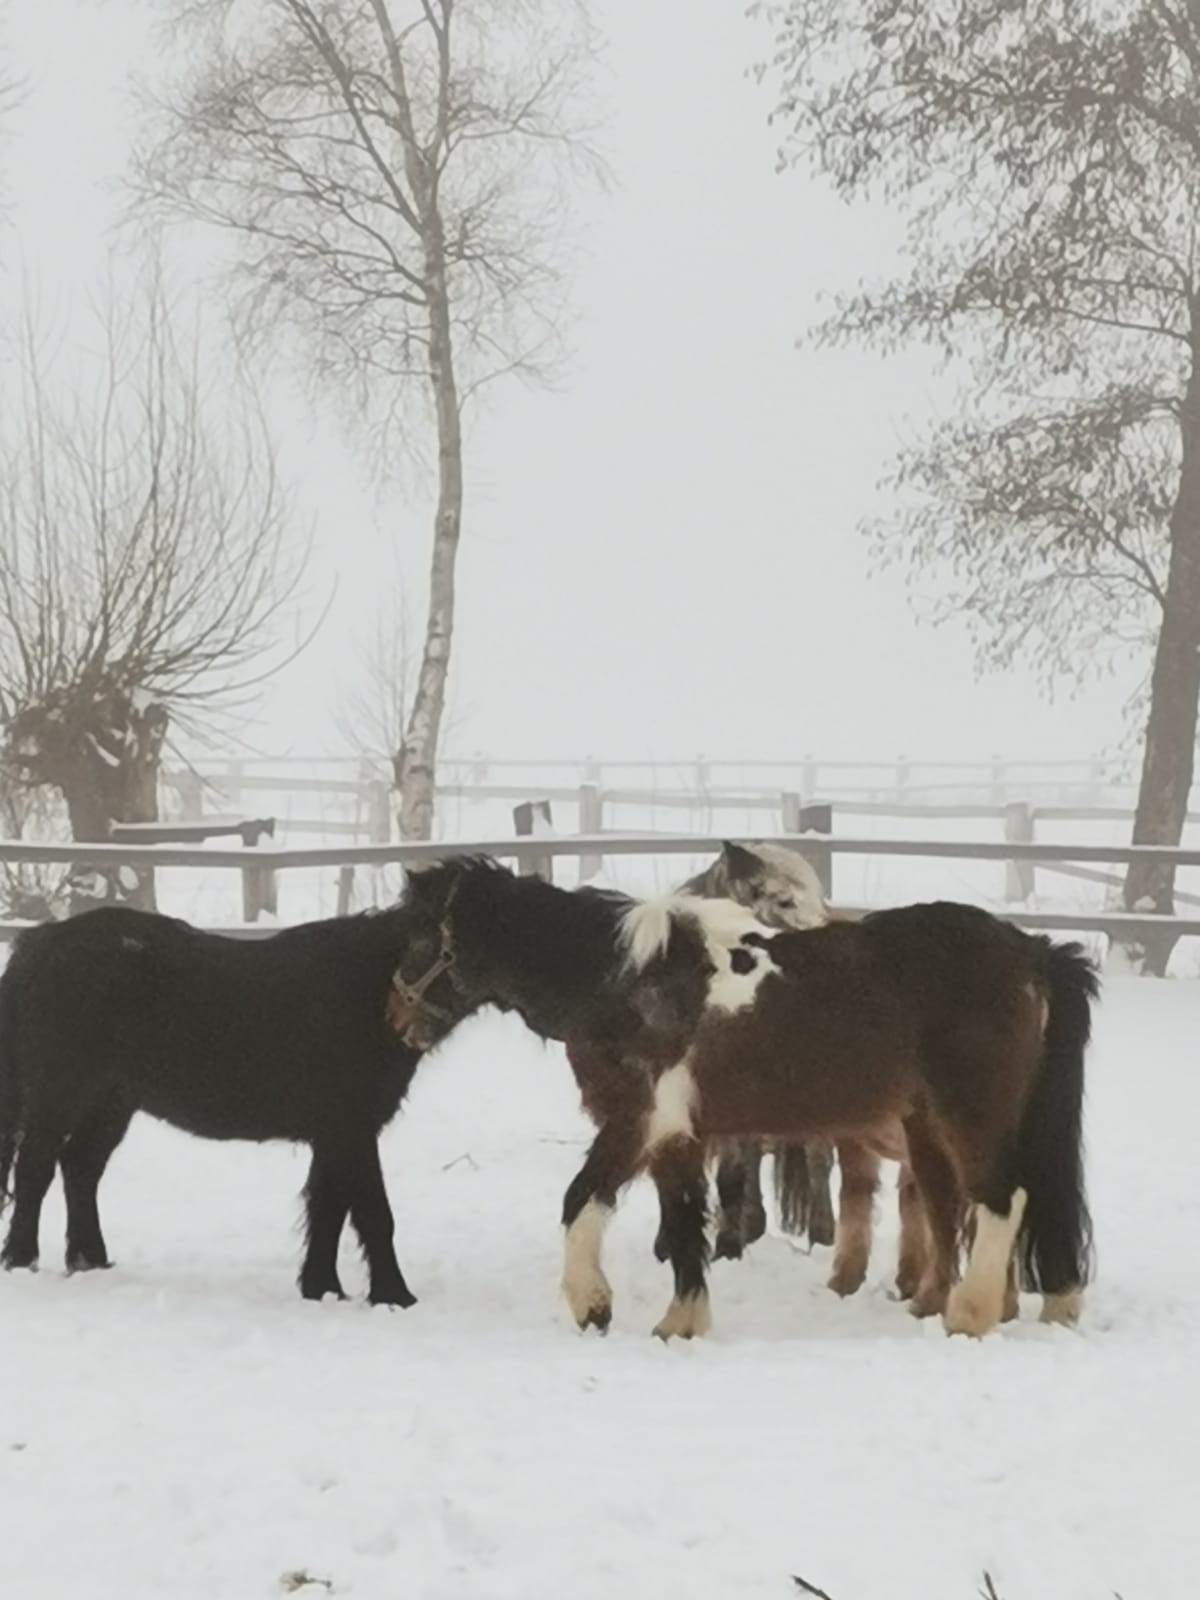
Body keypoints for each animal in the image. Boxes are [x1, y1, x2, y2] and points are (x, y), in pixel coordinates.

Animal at [0, 902, 428, 1305]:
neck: (365, 986)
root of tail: (37, 945)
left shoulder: (337, 1131)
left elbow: (328, 1207)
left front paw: (323, 1289)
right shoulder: (349, 1128)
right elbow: (370, 1210)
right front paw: (394, 1296)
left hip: (111, 1104)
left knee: (80, 1167)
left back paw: (89, 1259)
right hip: (61, 1094)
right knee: (35, 1168)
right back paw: (22, 1260)